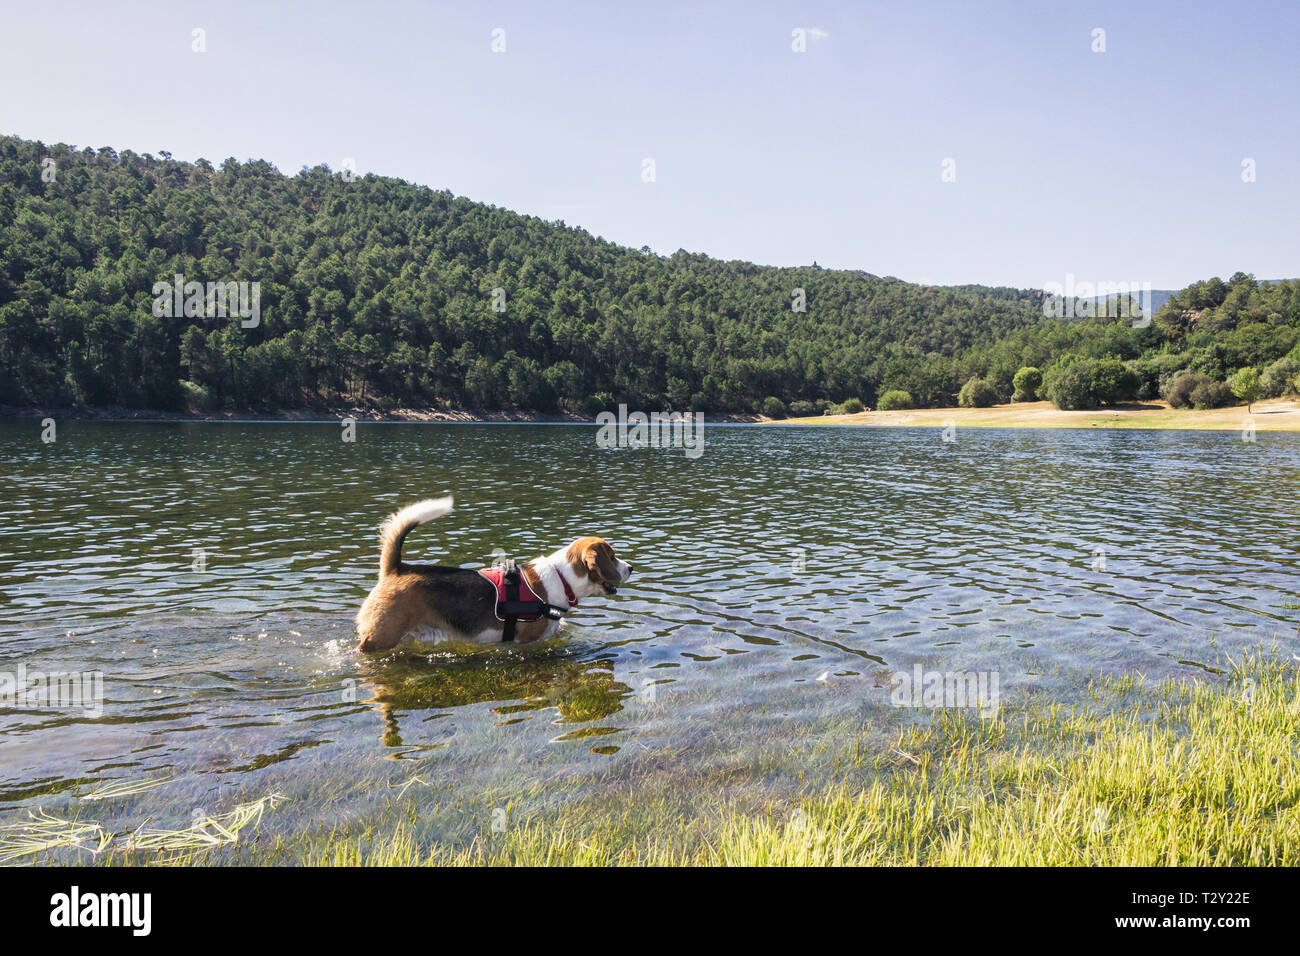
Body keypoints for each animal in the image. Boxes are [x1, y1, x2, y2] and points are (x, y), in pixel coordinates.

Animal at [356, 496, 629, 655]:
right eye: (613, 556)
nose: (631, 568)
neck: (561, 576)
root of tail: (397, 568)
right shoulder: (527, 641)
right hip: (380, 636)